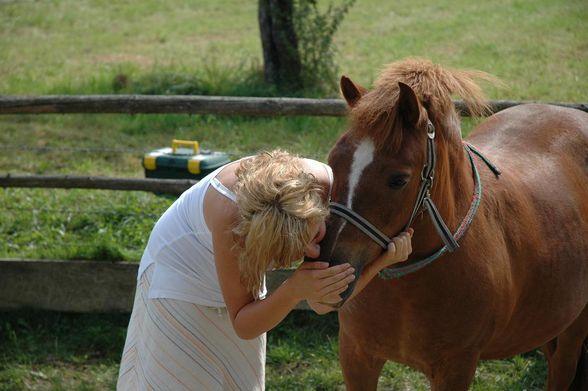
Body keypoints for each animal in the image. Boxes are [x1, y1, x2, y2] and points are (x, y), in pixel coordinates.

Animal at [320, 59, 588, 391]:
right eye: (333, 162)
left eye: (398, 180)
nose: (330, 269)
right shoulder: (356, 355)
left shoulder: (456, 367)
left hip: (575, 326)